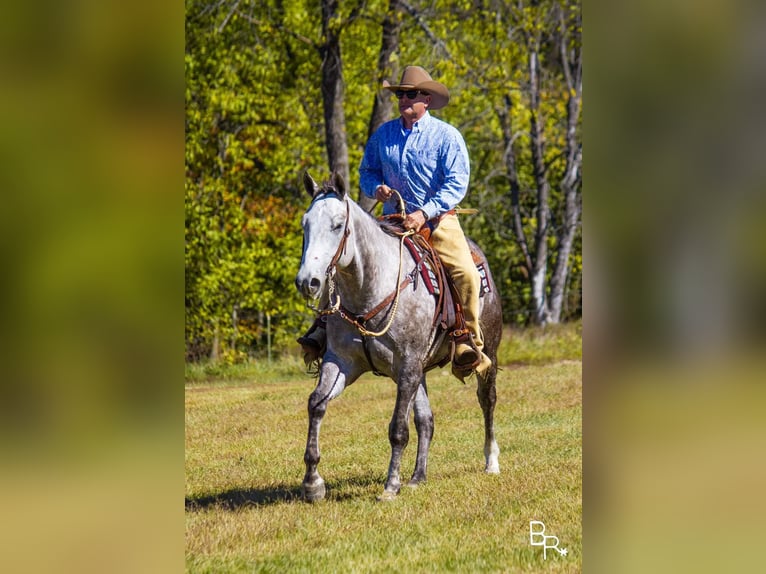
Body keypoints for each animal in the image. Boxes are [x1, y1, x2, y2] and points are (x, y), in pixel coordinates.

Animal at [296, 172, 504, 504]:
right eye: (305, 224)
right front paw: (312, 483)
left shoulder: (406, 366)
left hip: (488, 356)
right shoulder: (343, 362)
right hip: (420, 371)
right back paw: (418, 477)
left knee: (487, 400)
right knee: (426, 420)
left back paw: (491, 461)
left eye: (337, 224)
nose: (308, 282)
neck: (369, 290)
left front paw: (390, 486)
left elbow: (397, 429)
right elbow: (316, 404)